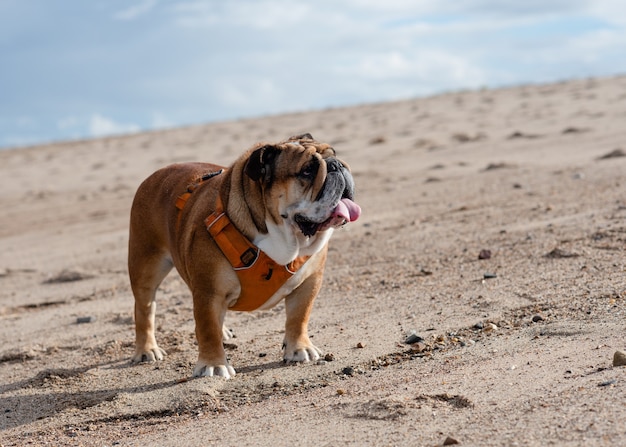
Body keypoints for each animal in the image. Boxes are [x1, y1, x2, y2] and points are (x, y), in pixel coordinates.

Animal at [127, 135, 358, 380]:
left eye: (334, 153)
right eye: (308, 170)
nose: (337, 165)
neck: (283, 236)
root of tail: (155, 174)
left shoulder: (309, 283)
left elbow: (299, 317)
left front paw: (300, 349)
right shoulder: (209, 291)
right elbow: (207, 329)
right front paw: (213, 364)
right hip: (146, 265)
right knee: (144, 309)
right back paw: (147, 350)